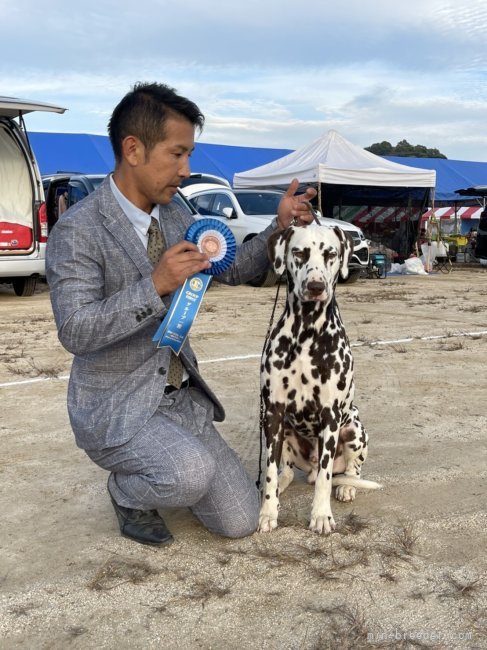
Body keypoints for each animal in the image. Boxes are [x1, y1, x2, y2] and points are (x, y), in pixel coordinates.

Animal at [260, 223, 382, 532]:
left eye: (330, 254)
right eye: (299, 252)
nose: (315, 287)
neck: (307, 331)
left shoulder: (331, 415)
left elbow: (326, 480)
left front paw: (321, 515)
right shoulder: (274, 414)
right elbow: (269, 471)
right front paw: (267, 512)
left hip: (354, 427)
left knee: (349, 470)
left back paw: (347, 486)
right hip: (286, 430)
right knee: (286, 471)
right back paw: (281, 485)